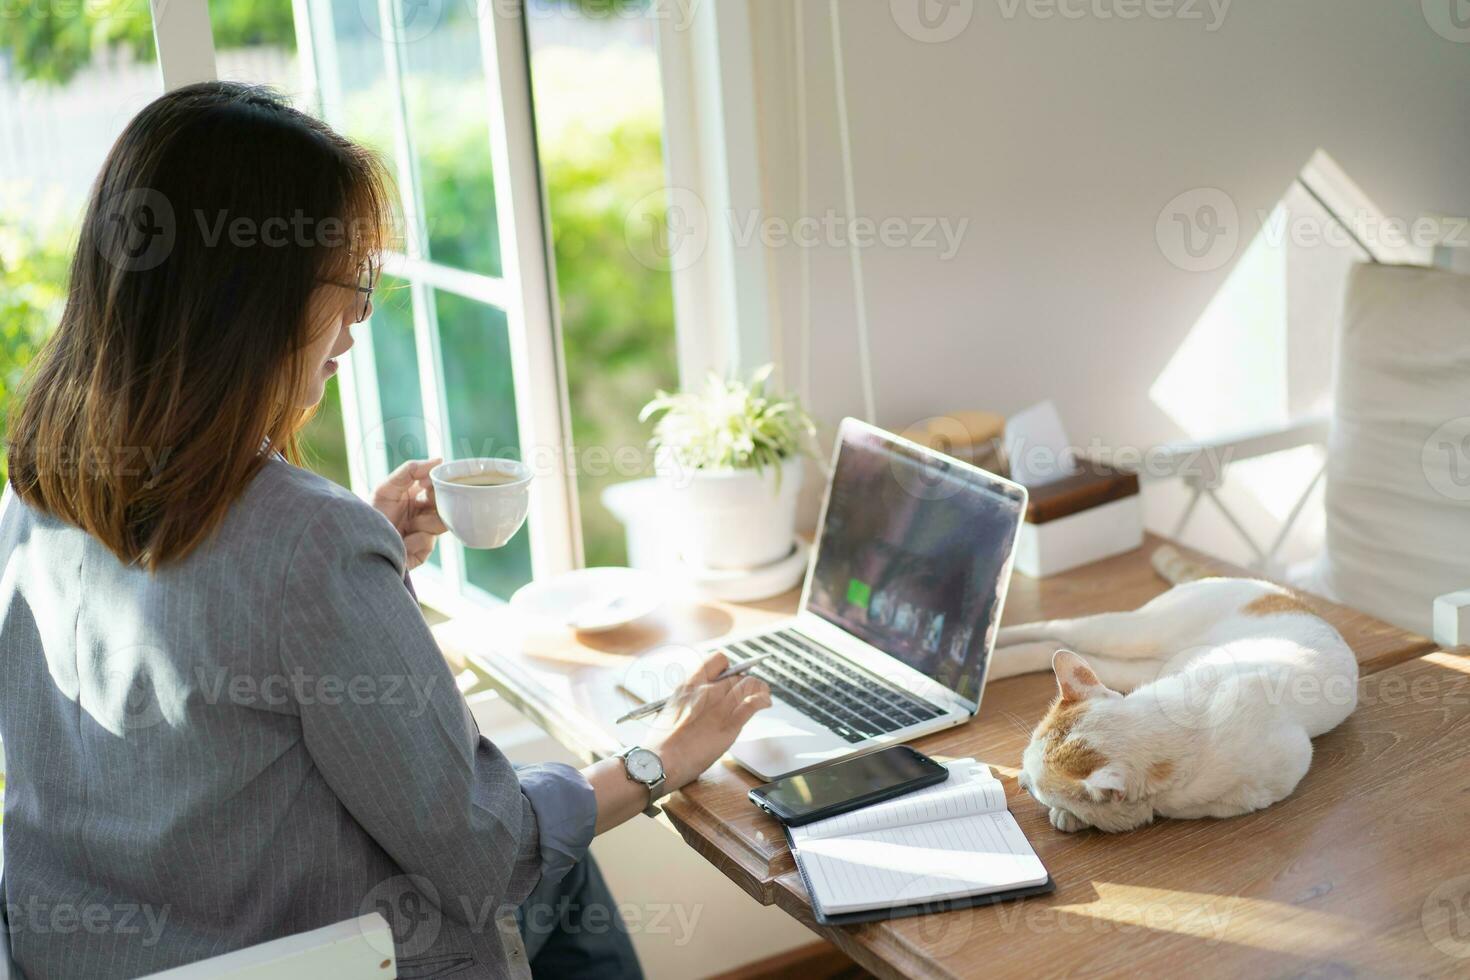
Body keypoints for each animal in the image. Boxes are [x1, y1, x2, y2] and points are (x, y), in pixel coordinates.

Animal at [993, 549, 1358, 834]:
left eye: (1032, 790)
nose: (1018, 780)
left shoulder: (1267, 778)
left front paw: (1073, 817)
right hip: (1131, 633)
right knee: (1053, 628)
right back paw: (994, 644)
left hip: (1135, 665)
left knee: (1050, 645)